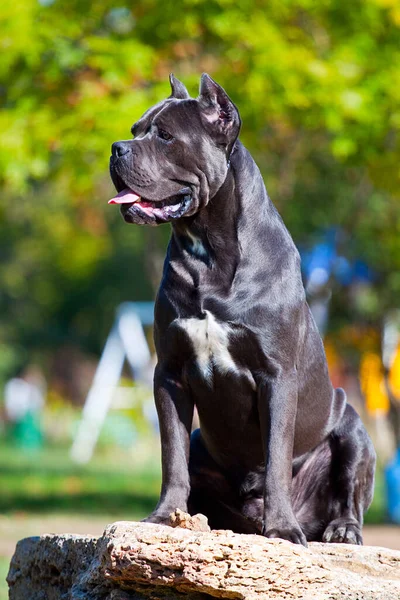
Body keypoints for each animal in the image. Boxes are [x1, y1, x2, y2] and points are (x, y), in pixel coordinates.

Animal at [108, 74, 376, 544]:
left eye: (165, 136)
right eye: (136, 129)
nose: (116, 148)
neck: (209, 252)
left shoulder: (277, 378)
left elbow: (276, 458)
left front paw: (283, 530)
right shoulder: (170, 374)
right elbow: (171, 455)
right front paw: (163, 517)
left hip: (353, 429)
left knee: (349, 489)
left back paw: (341, 529)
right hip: (203, 440)